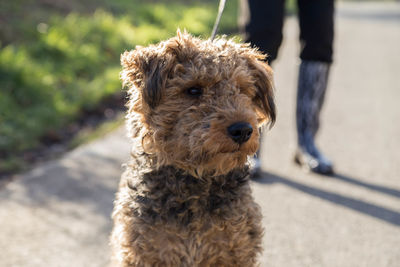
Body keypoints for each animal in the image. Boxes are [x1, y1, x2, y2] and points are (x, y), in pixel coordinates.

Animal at [110, 30, 276, 267]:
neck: (195, 184)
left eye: (243, 88)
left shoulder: (236, 252)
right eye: (194, 89)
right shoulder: (141, 255)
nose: (243, 130)